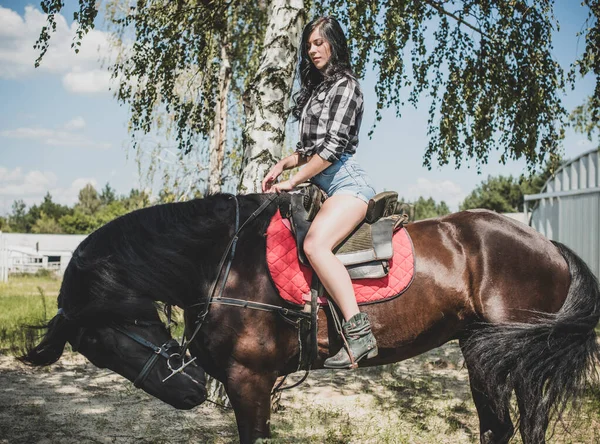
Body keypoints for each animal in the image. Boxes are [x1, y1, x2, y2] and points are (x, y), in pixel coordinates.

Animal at [22, 194, 600, 444]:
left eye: (105, 341)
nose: (189, 393)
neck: (223, 261)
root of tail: (546, 244)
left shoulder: (248, 381)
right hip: (481, 351)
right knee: (499, 428)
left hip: (514, 357)